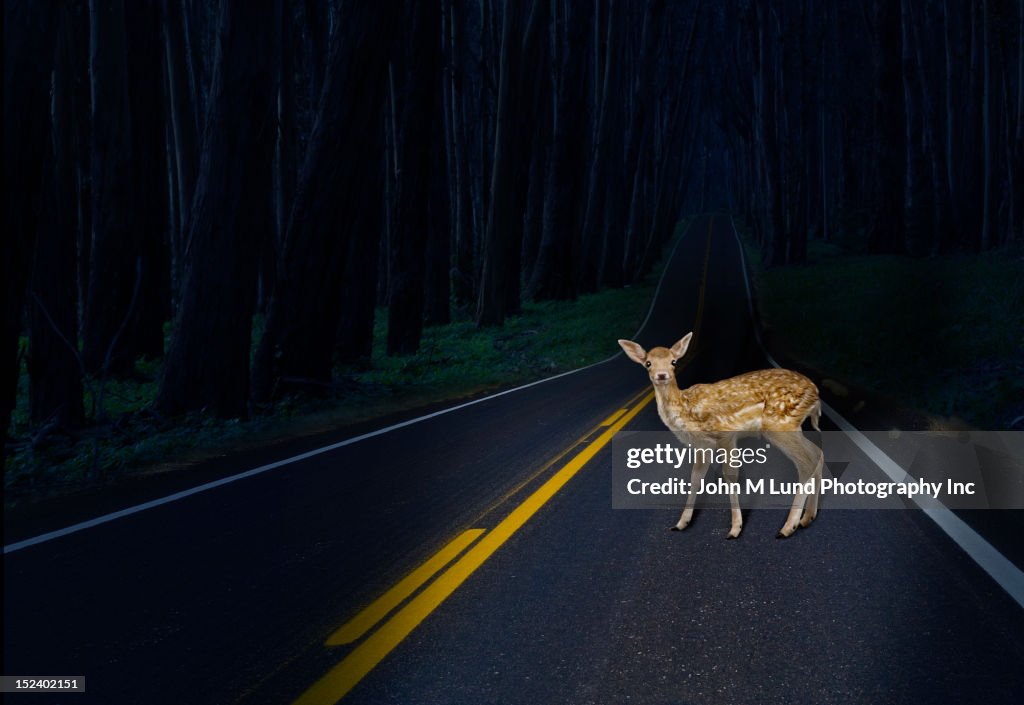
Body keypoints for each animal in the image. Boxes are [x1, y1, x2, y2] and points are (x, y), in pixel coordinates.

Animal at [614, 334, 823, 536]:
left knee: (807, 461)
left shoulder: (726, 434)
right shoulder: (702, 445)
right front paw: (681, 523)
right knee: (817, 453)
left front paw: (735, 529)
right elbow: (695, 477)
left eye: (673, 361)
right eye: (648, 363)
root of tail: (816, 394)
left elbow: (730, 475)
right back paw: (807, 518)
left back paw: (788, 527)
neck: (686, 409)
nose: (662, 375)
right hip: (792, 426)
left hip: (779, 423)